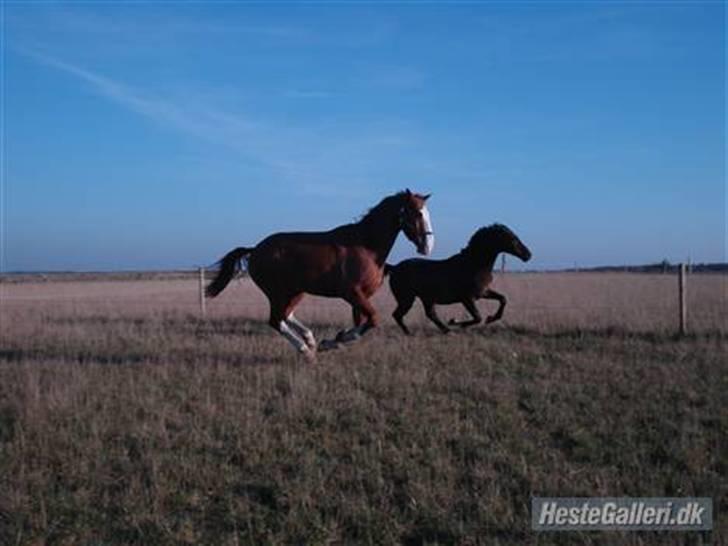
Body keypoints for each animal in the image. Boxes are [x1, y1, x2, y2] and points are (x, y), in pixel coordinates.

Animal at [205, 189, 432, 360]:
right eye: (417, 213)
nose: (428, 245)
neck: (365, 245)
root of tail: (255, 249)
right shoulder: (352, 294)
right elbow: (373, 319)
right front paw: (332, 342)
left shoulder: (361, 297)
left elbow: (360, 324)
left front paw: (335, 340)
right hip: (277, 292)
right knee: (276, 320)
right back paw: (305, 350)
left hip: (295, 291)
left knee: (286, 315)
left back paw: (310, 339)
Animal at [386, 222, 528, 334]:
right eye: (512, 239)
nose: (528, 255)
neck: (473, 265)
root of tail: (394, 267)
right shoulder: (467, 298)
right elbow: (478, 317)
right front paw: (455, 322)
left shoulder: (483, 292)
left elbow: (502, 299)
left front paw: (491, 318)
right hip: (407, 299)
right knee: (397, 315)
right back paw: (411, 333)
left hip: (426, 298)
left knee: (430, 314)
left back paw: (446, 331)